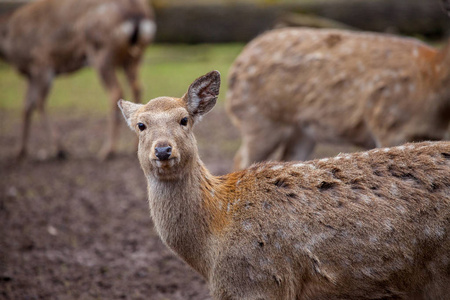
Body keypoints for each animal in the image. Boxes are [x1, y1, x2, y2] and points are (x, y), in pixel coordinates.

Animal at [0, 0, 156, 161]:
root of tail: (137, 14)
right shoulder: (31, 74)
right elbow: (27, 106)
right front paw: (20, 151)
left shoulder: (41, 63)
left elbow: (38, 102)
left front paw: (59, 149)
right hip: (134, 57)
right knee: (137, 87)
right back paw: (134, 146)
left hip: (101, 53)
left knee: (115, 91)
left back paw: (107, 150)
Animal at [227, 27, 450, 170]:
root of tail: (236, 64)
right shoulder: (388, 124)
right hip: (260, 119)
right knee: (242, 159)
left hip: (301, 130)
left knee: (288, 158)